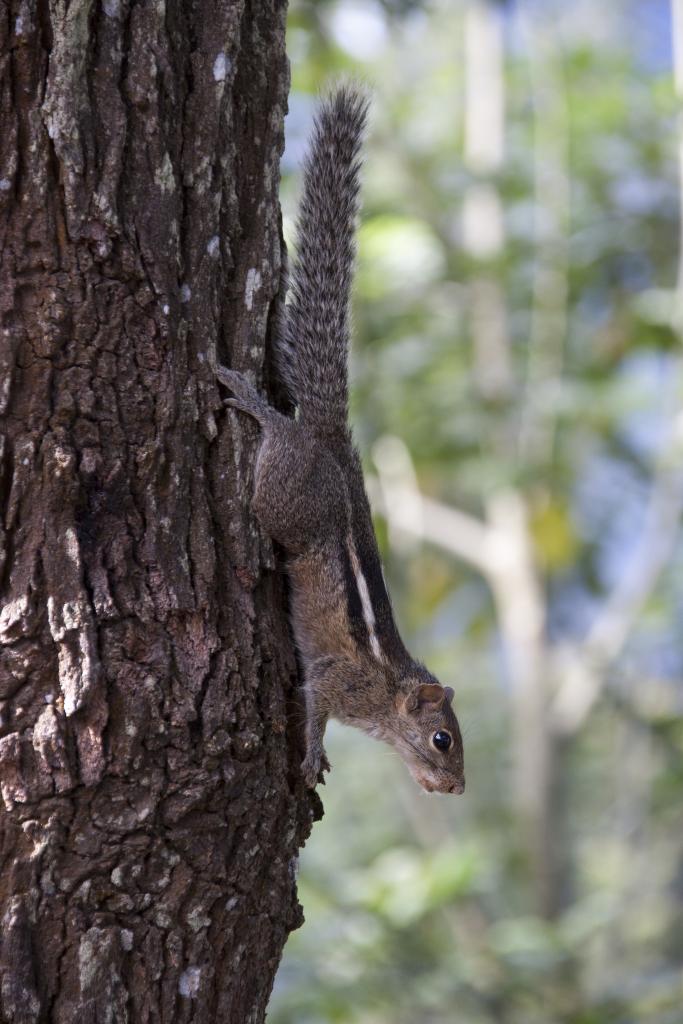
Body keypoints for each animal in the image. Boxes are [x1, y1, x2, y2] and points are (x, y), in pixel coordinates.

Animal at [216, 83, 466, 794]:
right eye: (441, 740)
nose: (456, 788)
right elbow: (314, 705)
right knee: (279, 444)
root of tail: (331, 440)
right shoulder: (337, 681)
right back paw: (259, 407)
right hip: (289, 500)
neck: (387, 693)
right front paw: (311, 755)